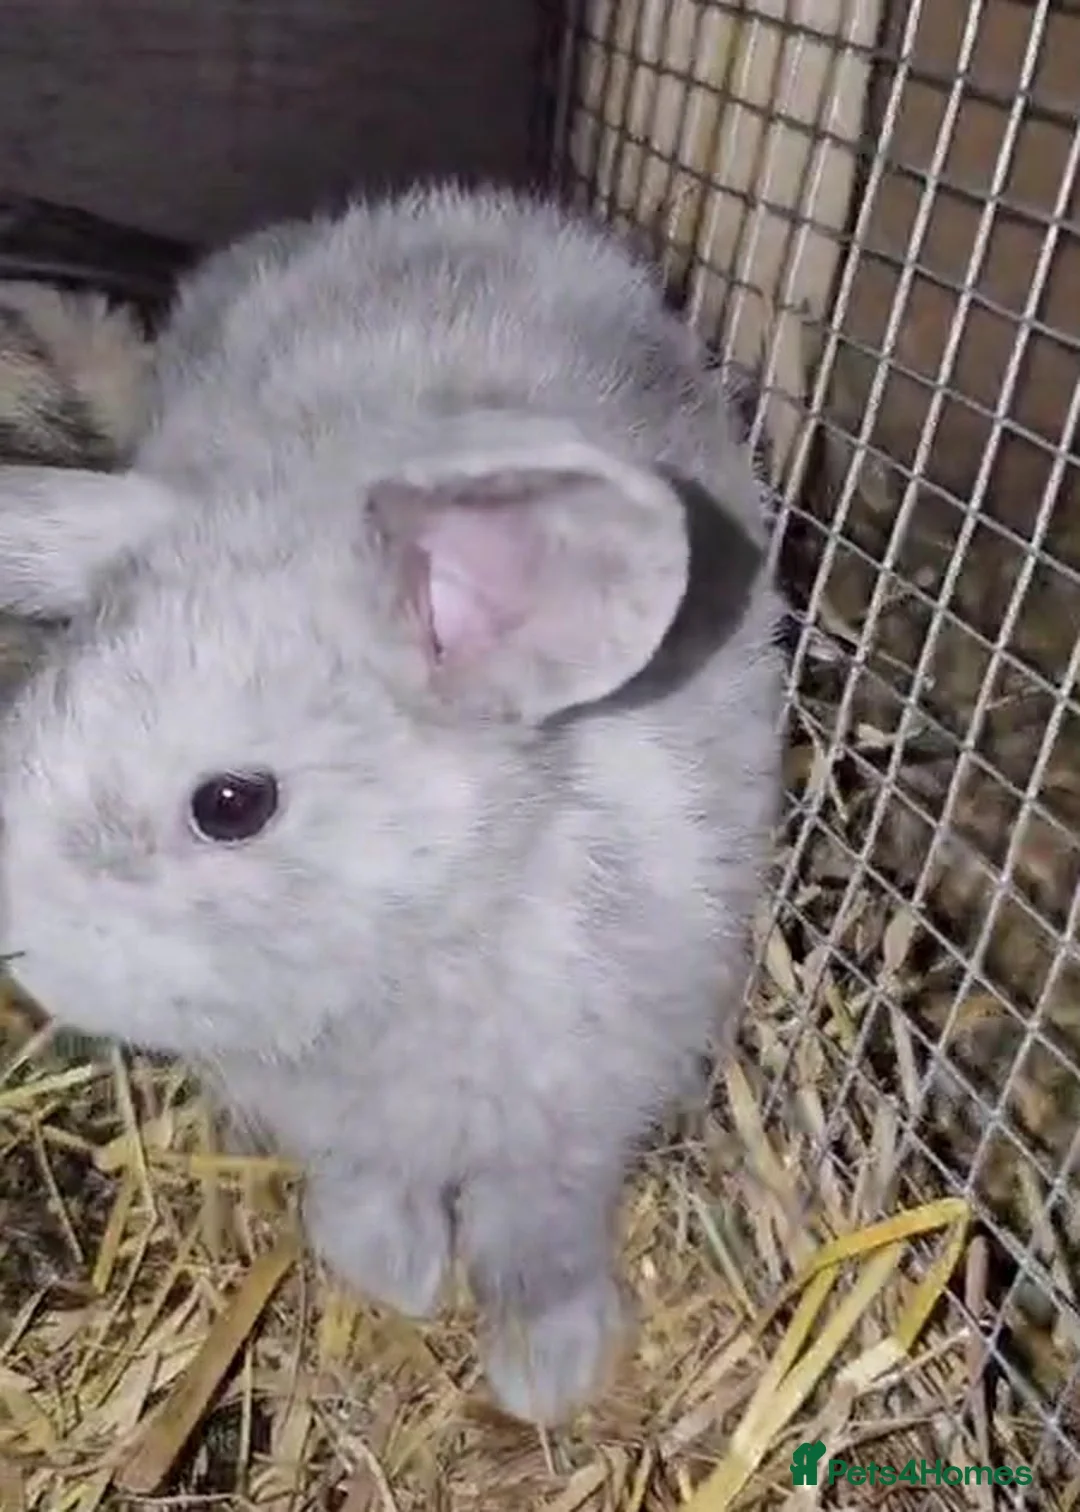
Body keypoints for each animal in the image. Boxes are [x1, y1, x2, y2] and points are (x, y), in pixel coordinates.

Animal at [0, 183, 784, 1426]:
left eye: (232, 803)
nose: (21, 952)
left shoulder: (572, 1128)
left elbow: (537, 1233)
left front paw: (548, 1367)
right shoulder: (349, 1133)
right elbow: (371, 1187)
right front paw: (393, 1270)